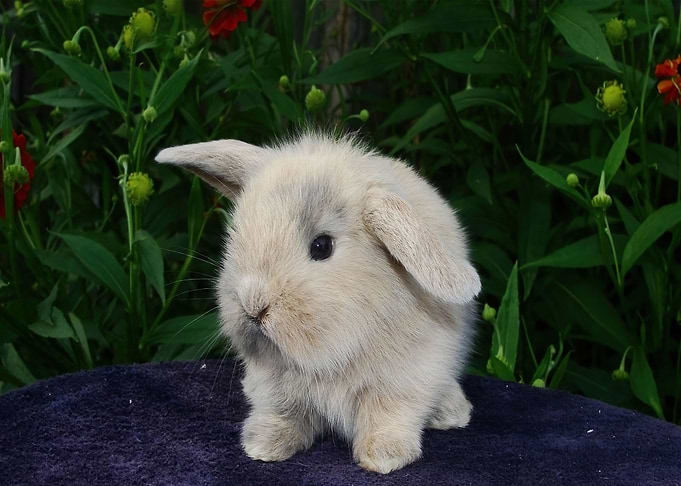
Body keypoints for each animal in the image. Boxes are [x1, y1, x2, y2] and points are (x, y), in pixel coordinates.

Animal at [155, 132, 481, 474]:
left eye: (322, 246)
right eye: (236, 236)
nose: (253, 306)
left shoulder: (405, 379)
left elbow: (388, 416)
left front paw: (383, 457)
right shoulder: (275, 385)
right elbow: (283, 413)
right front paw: (263, 445)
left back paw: (452, 412)